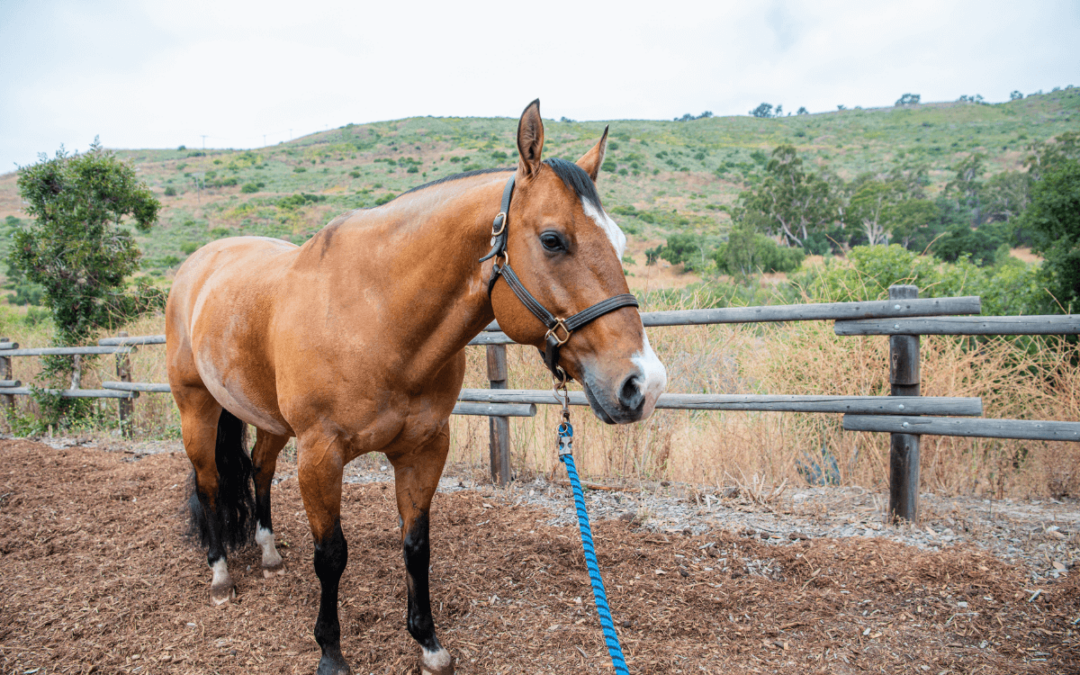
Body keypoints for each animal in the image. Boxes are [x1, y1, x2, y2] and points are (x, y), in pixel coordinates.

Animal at [165, 100, 667, 675]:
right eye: (552, 240)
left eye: (620, 242)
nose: (644, 384)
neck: (375, 317)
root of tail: (197, 266)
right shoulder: (320, 454)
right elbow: (331, 554)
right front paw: (331, 652)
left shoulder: (423, 448)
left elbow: (416, 546)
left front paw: (428, 642)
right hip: (197, 409)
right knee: (209, 483)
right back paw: (221, 575)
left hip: (270, 420)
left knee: (259, 467)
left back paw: (268, 554)